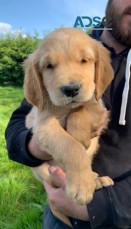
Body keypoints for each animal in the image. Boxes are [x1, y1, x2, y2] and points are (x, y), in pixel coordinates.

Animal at [24, 28, 114, 225]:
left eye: (84, 60)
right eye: (49, 66)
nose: (71, 89)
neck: (66, 108)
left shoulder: (98, 103)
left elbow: (83, 109)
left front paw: (79, 135)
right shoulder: (43, 125)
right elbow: (71, 146)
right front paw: (81, 184)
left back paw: (96, 179)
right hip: (44, 171)